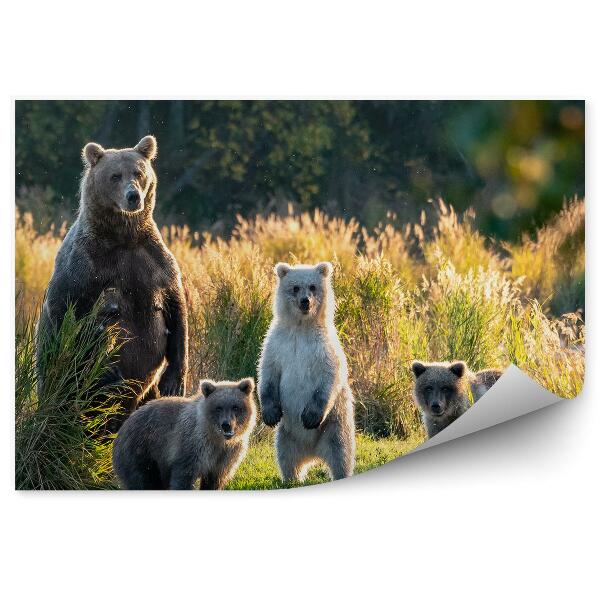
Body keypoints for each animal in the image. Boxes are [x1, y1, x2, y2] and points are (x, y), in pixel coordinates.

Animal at [38, 136, 188, 422]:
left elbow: (177, 309)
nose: (133, 196)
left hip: (146, 395)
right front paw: (108, 371)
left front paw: (174, 381)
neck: (123, 237)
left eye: (138, 173)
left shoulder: (153, 261)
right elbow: (71, 313)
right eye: (115, 175)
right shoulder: (85, 266)